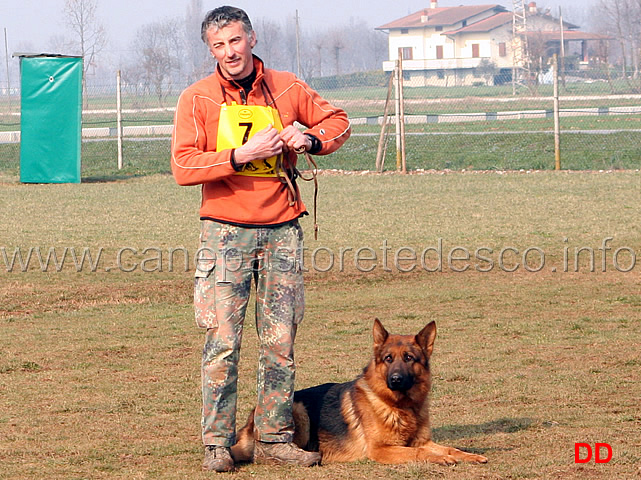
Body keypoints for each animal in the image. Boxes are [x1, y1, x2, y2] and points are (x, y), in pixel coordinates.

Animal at [232, 318, 488, 464]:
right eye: (388, 359)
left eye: (408, 358)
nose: (395, 379)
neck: (400, 406)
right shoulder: (382, 450)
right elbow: (420, 453)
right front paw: (441, 458)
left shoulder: (422, 441)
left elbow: (452, 448)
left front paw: (469, 455)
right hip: (299, 411)